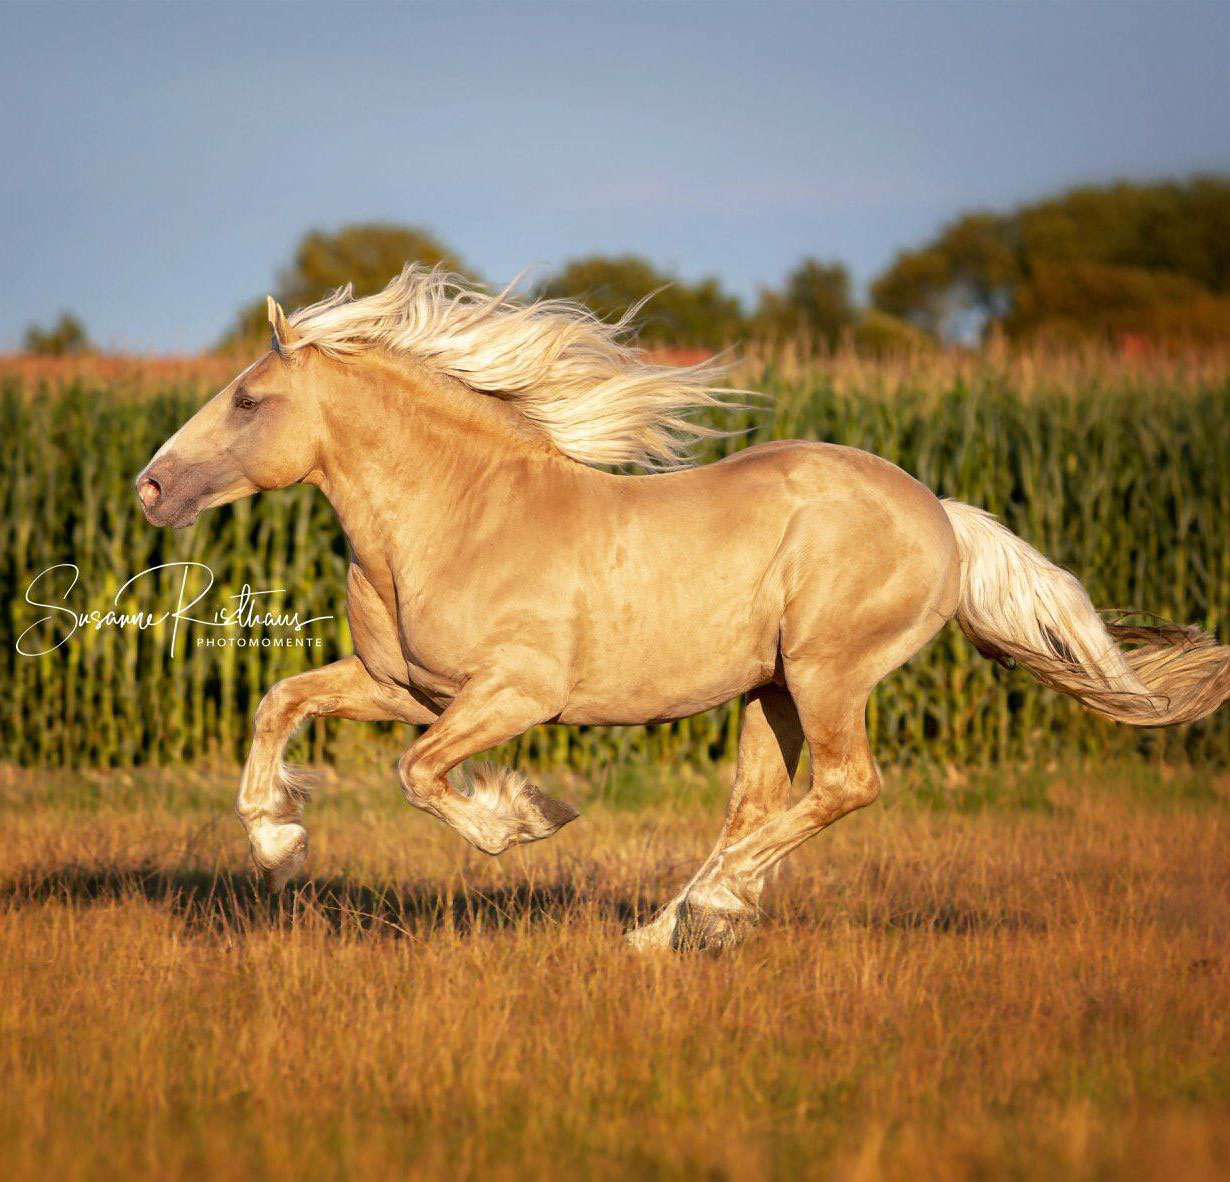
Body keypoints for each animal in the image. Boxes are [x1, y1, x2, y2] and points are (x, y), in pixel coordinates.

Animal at [139, 265, 1230, 949]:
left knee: (847, 786)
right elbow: (281, 702)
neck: (459, 514)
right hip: (771, 691)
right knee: (760, 806)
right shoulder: (404, 686)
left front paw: (523, 820)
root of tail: (944, 519)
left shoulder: (515, 695)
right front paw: (278, 845)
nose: (151, 489)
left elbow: (419, 775)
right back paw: (672, 928)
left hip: (829, 673)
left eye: (247, 400)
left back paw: (699, 915)